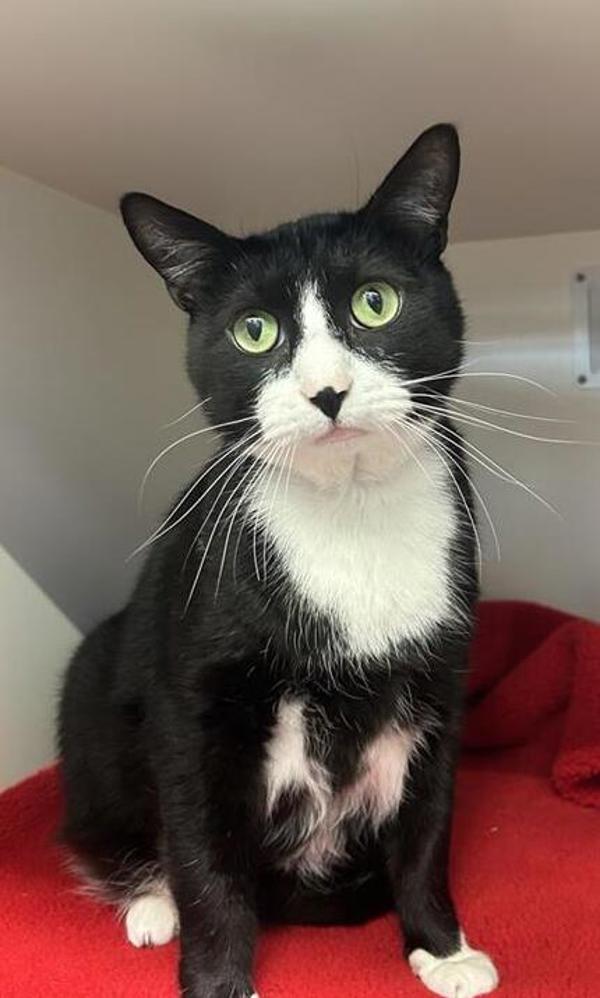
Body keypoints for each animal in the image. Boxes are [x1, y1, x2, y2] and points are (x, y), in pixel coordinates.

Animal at [58, 124, 499, 998]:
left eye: (376, 302)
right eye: (253, 330)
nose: (327, 391)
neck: (352, 515)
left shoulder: (442, 675)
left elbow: (429, 822)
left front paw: (442, 945)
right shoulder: (194, 694)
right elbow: (204, 848)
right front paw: (219, 979)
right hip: (91, 693)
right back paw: (149, 900)